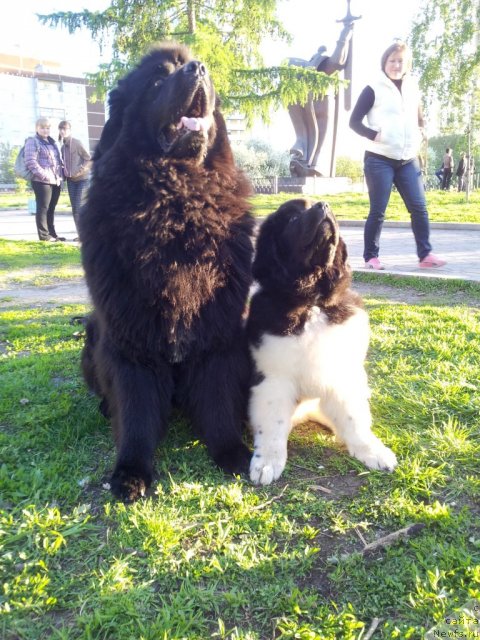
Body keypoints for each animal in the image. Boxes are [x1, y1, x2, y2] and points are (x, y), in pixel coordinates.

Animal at [79, 43, 255, 500]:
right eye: (158, 79)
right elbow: (136, 412)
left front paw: (233, 453)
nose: (199, 68)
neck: (176, 204)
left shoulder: (217, 333)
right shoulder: (130, 338)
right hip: (93, 333)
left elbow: (217, 399)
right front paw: (131, 472)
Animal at [246, 198, 396, 482]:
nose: (323, 205)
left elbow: (354, 418)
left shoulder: (342, 375)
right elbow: (272, 425)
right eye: (292, 217)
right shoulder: (273, 379)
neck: (312, 302)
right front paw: (267, 461)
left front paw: (370, 450)